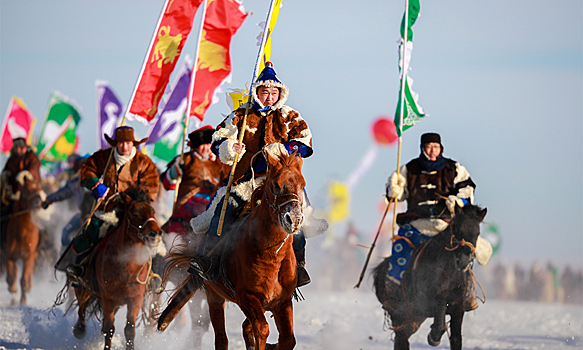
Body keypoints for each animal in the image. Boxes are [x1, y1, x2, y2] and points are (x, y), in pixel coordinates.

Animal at [4, 171, 44, 304]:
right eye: (26, 190)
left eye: (39, 188)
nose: (38, 202)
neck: (23, 233)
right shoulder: (10, 256)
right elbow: (11, 277)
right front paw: (13, 289)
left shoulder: (28, 256)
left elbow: (23, 280)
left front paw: (23, 301)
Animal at [73, 189, 164, 350]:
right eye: (134, 213)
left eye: (153, 211)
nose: (156, 233)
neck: (125, 268)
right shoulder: (108, 298)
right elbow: (109, 329)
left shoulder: (135, 299)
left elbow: (129, 330)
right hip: (85, 287)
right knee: (82, 305)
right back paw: (79, 329)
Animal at [157, 152, 308, 350]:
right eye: (276, 184)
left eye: (302, 185)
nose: (295, 219)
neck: (271, 256)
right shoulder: (246, 297)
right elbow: (262, 328)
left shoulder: (282, 302)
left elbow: (288, 339)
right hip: (214, 295)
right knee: (221, 337)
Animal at [374, 204, 488, 350]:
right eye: (457, 229)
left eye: (477, 233)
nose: (463, 261)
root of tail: (379, 270)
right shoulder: (427, 302)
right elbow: (440, 315)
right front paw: (434, 336)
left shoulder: (457, 307)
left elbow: (456, 339)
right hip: (402, 314)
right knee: (401, 338)